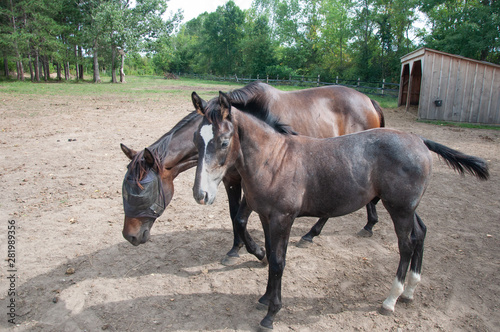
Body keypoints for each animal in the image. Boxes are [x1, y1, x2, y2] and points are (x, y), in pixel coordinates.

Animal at [120, 82, 382, 264]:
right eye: (196, 139)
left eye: (143, 192)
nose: (130, 236)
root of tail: (369, 100)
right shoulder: (231, 181)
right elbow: (234, 216)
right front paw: (236, 249)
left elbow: (240, 219)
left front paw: (258, 251)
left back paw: (327, 231)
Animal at [191, 91, 488, 330]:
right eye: (196, 139)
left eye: (224, 142)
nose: (200, 194)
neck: (274, 159)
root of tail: (420, 140)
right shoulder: (266, 217)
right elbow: (271, 255)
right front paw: (264, 298)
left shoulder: (282, 219)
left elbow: (278, 262)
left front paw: (271, 314)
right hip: (407, 206)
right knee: (421, 233)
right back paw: (410, 291)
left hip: (400, 209)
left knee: (406, 244)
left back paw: (391, 299)